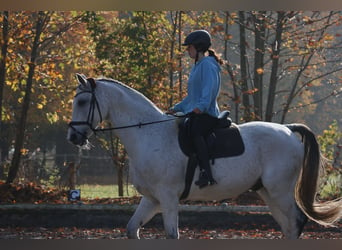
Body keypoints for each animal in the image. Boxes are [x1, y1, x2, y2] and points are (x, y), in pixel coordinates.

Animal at [67, 73, 342, 238]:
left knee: (295, 221)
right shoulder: (152, 199)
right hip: (267, 192)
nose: (73, 138)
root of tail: (287, 129)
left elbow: (172, 234)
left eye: (82, 102)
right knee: (287, 225)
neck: (149, 134)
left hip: (280, 191)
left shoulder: (168, 198)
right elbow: (132, 228)